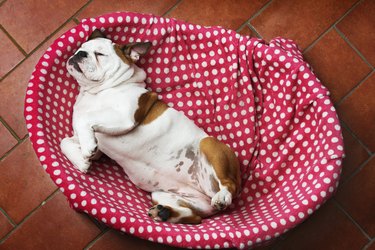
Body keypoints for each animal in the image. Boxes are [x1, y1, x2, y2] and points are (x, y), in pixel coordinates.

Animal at [59, 29, 241, 225]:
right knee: (194, 216)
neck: (95, 92)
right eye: (81, 47)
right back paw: (164, 213)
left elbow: (86, 119)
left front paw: (86, 150)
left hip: (209, 146)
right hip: (163, 195)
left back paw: (222, 197)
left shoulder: (125, 116)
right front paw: (81, 161)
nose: (80, 54)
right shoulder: (95, 143)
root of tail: (208, 194)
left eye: (100, 54)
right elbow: (65, 141)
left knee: (228, 184)